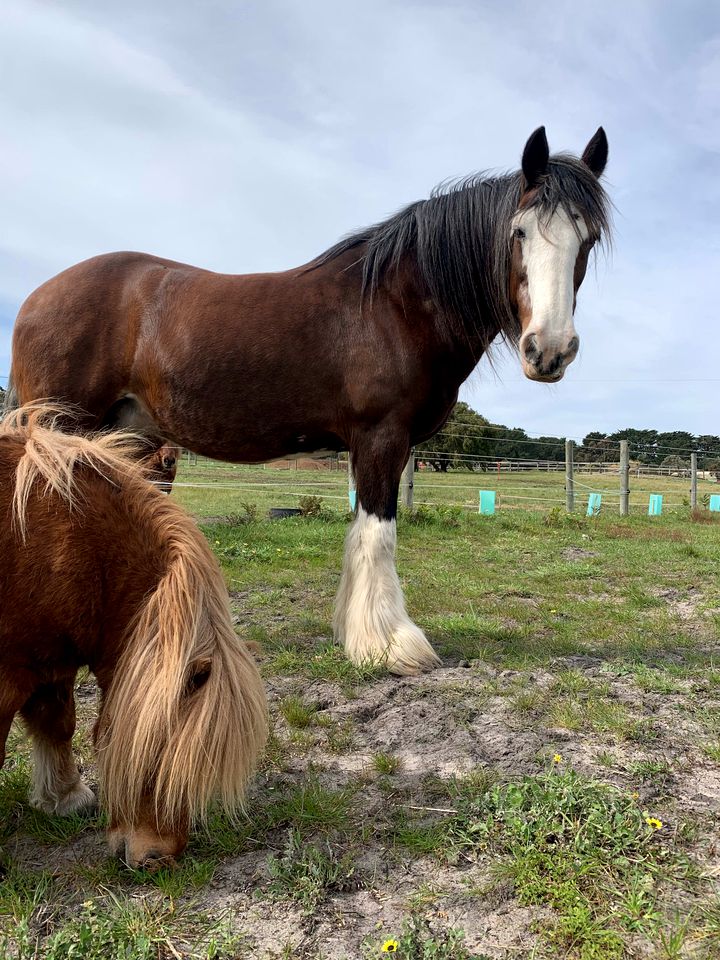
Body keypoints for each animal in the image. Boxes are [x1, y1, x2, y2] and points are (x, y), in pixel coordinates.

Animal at [7, 125, 612, 676]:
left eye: (587, 240)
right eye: (519, 231)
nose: (549, 349)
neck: (397, 303)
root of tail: (35, 298)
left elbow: (360, 534)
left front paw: (355, 633)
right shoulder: (381, 437)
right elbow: (378, 534)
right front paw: (389, 645)